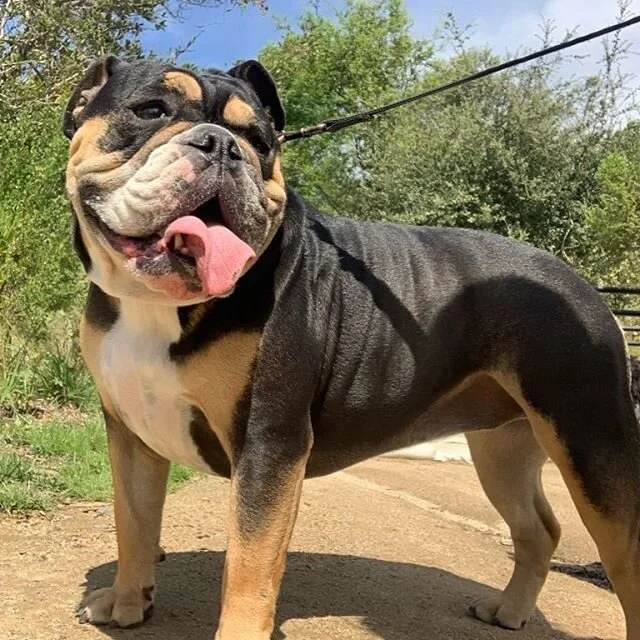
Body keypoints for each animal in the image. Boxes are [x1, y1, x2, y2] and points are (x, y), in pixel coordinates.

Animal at [63, 57, 640, 640]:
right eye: (150, 110)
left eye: (260, 141)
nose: (223, 145)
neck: (157, 304)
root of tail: (581, 285)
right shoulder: (130, 432)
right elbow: (133, 521)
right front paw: (128, 600)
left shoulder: (269, 443)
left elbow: (249, 561)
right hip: (503, 449)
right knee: (539, 528)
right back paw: (510, 610)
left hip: (591, 445)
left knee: (622, 557)